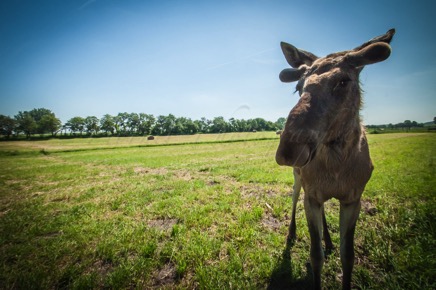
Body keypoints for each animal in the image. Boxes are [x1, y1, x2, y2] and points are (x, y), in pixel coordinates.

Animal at [276, 28, 396, 288]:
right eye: (298, 86)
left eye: (343, 80)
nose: (288, 150)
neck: (337, 170)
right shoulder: (311, 195)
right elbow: (315, 255)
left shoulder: (353, 197)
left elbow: (348, 255)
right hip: (298, 179)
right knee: (294, 199)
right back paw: (291, 233)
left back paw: (329, 240)